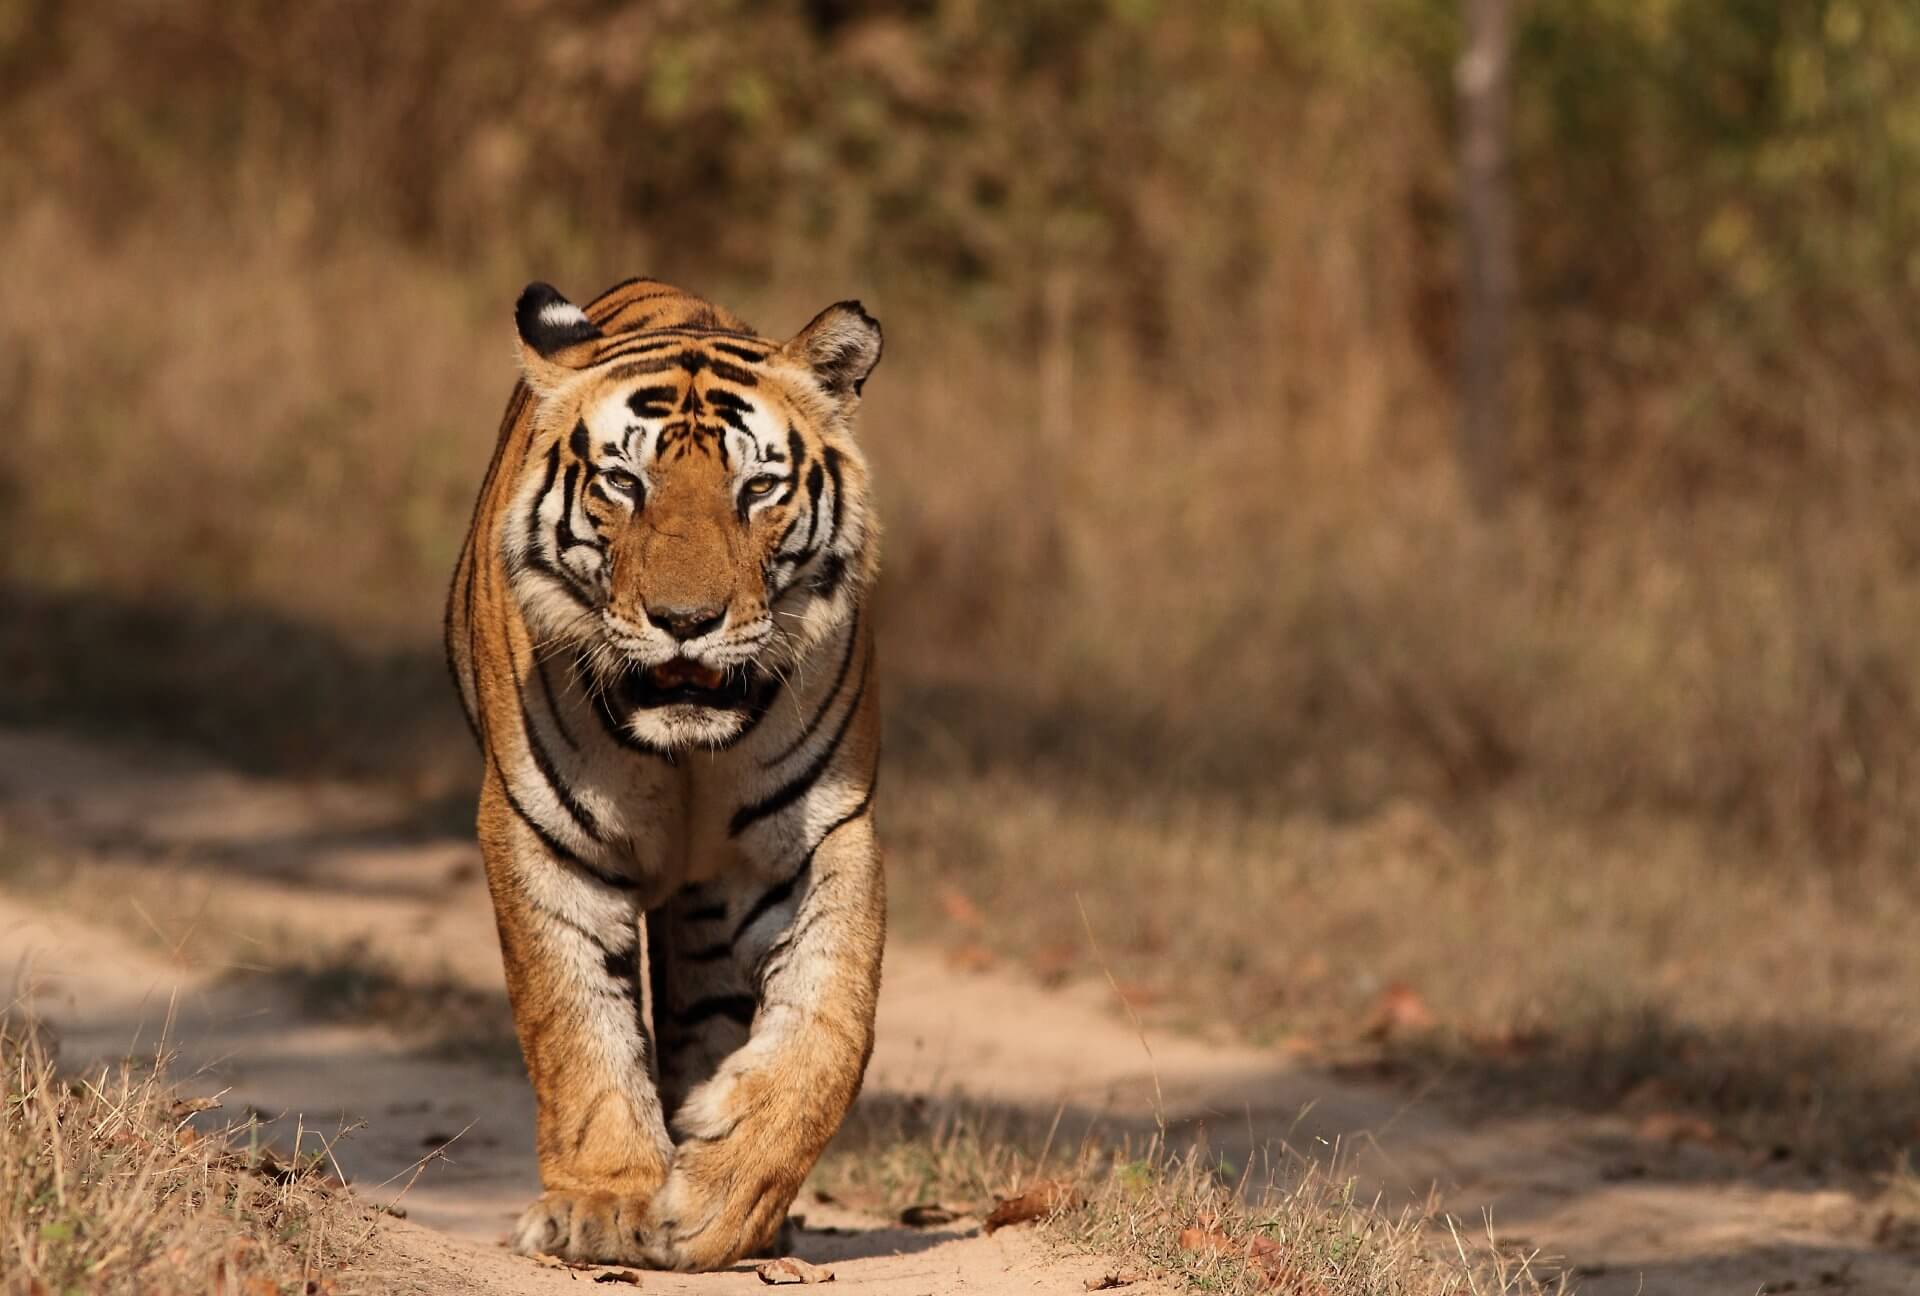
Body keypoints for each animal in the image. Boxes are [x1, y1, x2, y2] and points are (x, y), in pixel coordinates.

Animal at [441, 276, 883, 1267]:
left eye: (758, 489)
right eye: (624, 483)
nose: (686, 622)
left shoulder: (818, 836)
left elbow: (829, 1025)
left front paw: (725, 1197)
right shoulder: (542, 838)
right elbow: (577, 1029)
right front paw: (605, 1206)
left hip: (709, 907)